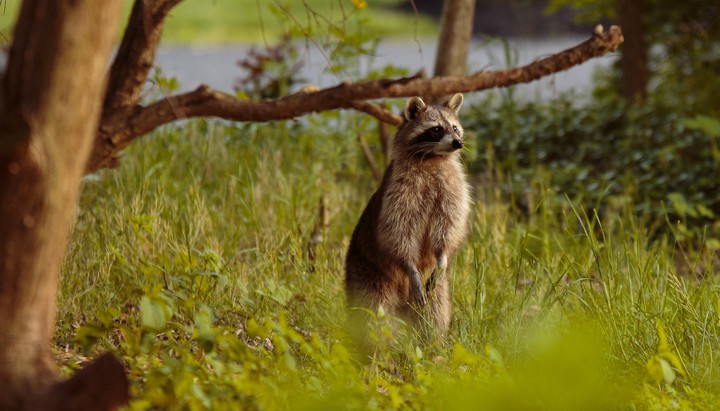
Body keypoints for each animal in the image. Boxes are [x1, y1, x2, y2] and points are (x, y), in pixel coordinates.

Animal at [345, 93, 471, 346]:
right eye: (436, 129)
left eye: (455, 127)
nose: (458, 143)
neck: (433, 158)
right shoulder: (399, 191)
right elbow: (398, 232)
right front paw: (410, 266)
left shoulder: (452, 188)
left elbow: (448, 226)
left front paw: (442, 256)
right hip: (366, 273)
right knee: (373, 312)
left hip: (436, 289)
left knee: (435, 311)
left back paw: (434, 345)